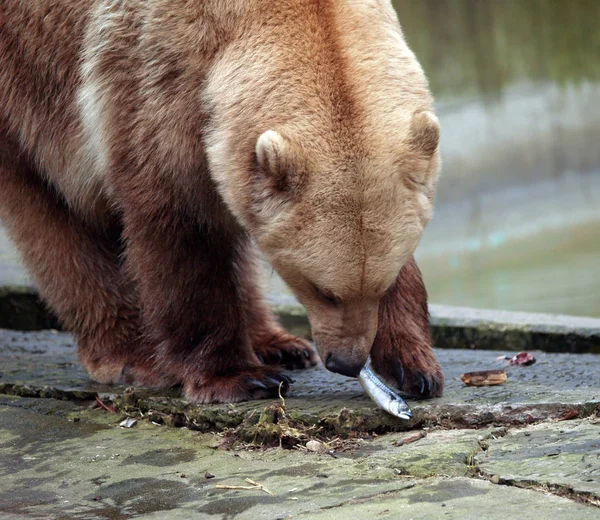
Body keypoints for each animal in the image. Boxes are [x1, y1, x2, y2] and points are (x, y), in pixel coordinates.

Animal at [0, 0, 440, 404]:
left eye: (380, 286)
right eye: (322, 290)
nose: (346, 361)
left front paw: (412, 365)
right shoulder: (152, 84)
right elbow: (183, 231)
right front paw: (237, 377)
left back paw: (280, 344)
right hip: (29, 87)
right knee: (53, 221)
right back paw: (130, 355)